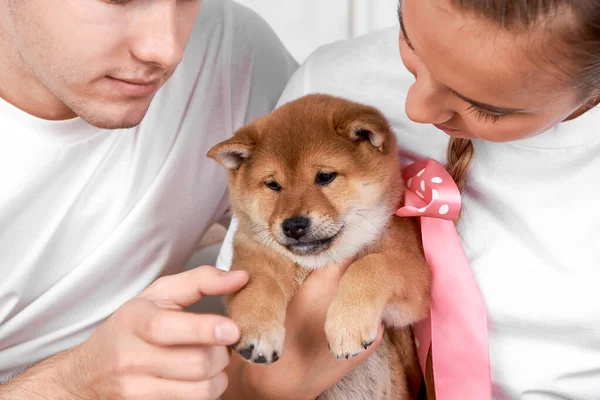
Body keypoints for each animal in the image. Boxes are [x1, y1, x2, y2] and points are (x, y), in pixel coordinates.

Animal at [209, 94, 428, 400]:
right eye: (273, 185)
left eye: (325, 176)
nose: (293, 225)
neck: (318, 262)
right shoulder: (252, 257)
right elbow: (258, 286)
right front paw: (258, 331)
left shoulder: (413, 279)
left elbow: (371, 265)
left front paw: (348, 323)